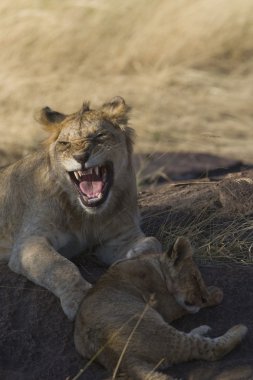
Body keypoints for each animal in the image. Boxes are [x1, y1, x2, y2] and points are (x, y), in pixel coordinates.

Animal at [0, 96, 160, 320]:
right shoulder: (28, 243)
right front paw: (82, 299)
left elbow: (153, 242)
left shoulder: (120, 236)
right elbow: (60, 266)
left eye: (100, 135)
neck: (87, 216)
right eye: (65, 143)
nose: (81, 157)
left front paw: (134, 256)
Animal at [74, 238, 247, 380]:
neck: (156, 265)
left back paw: (202, 329)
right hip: (158, 330)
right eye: (194, 277)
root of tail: (123, 361)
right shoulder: (164, 304)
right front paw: (215, 293)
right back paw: (240, 329)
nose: (203, 298)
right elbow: (189, 306)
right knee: (209, 349)